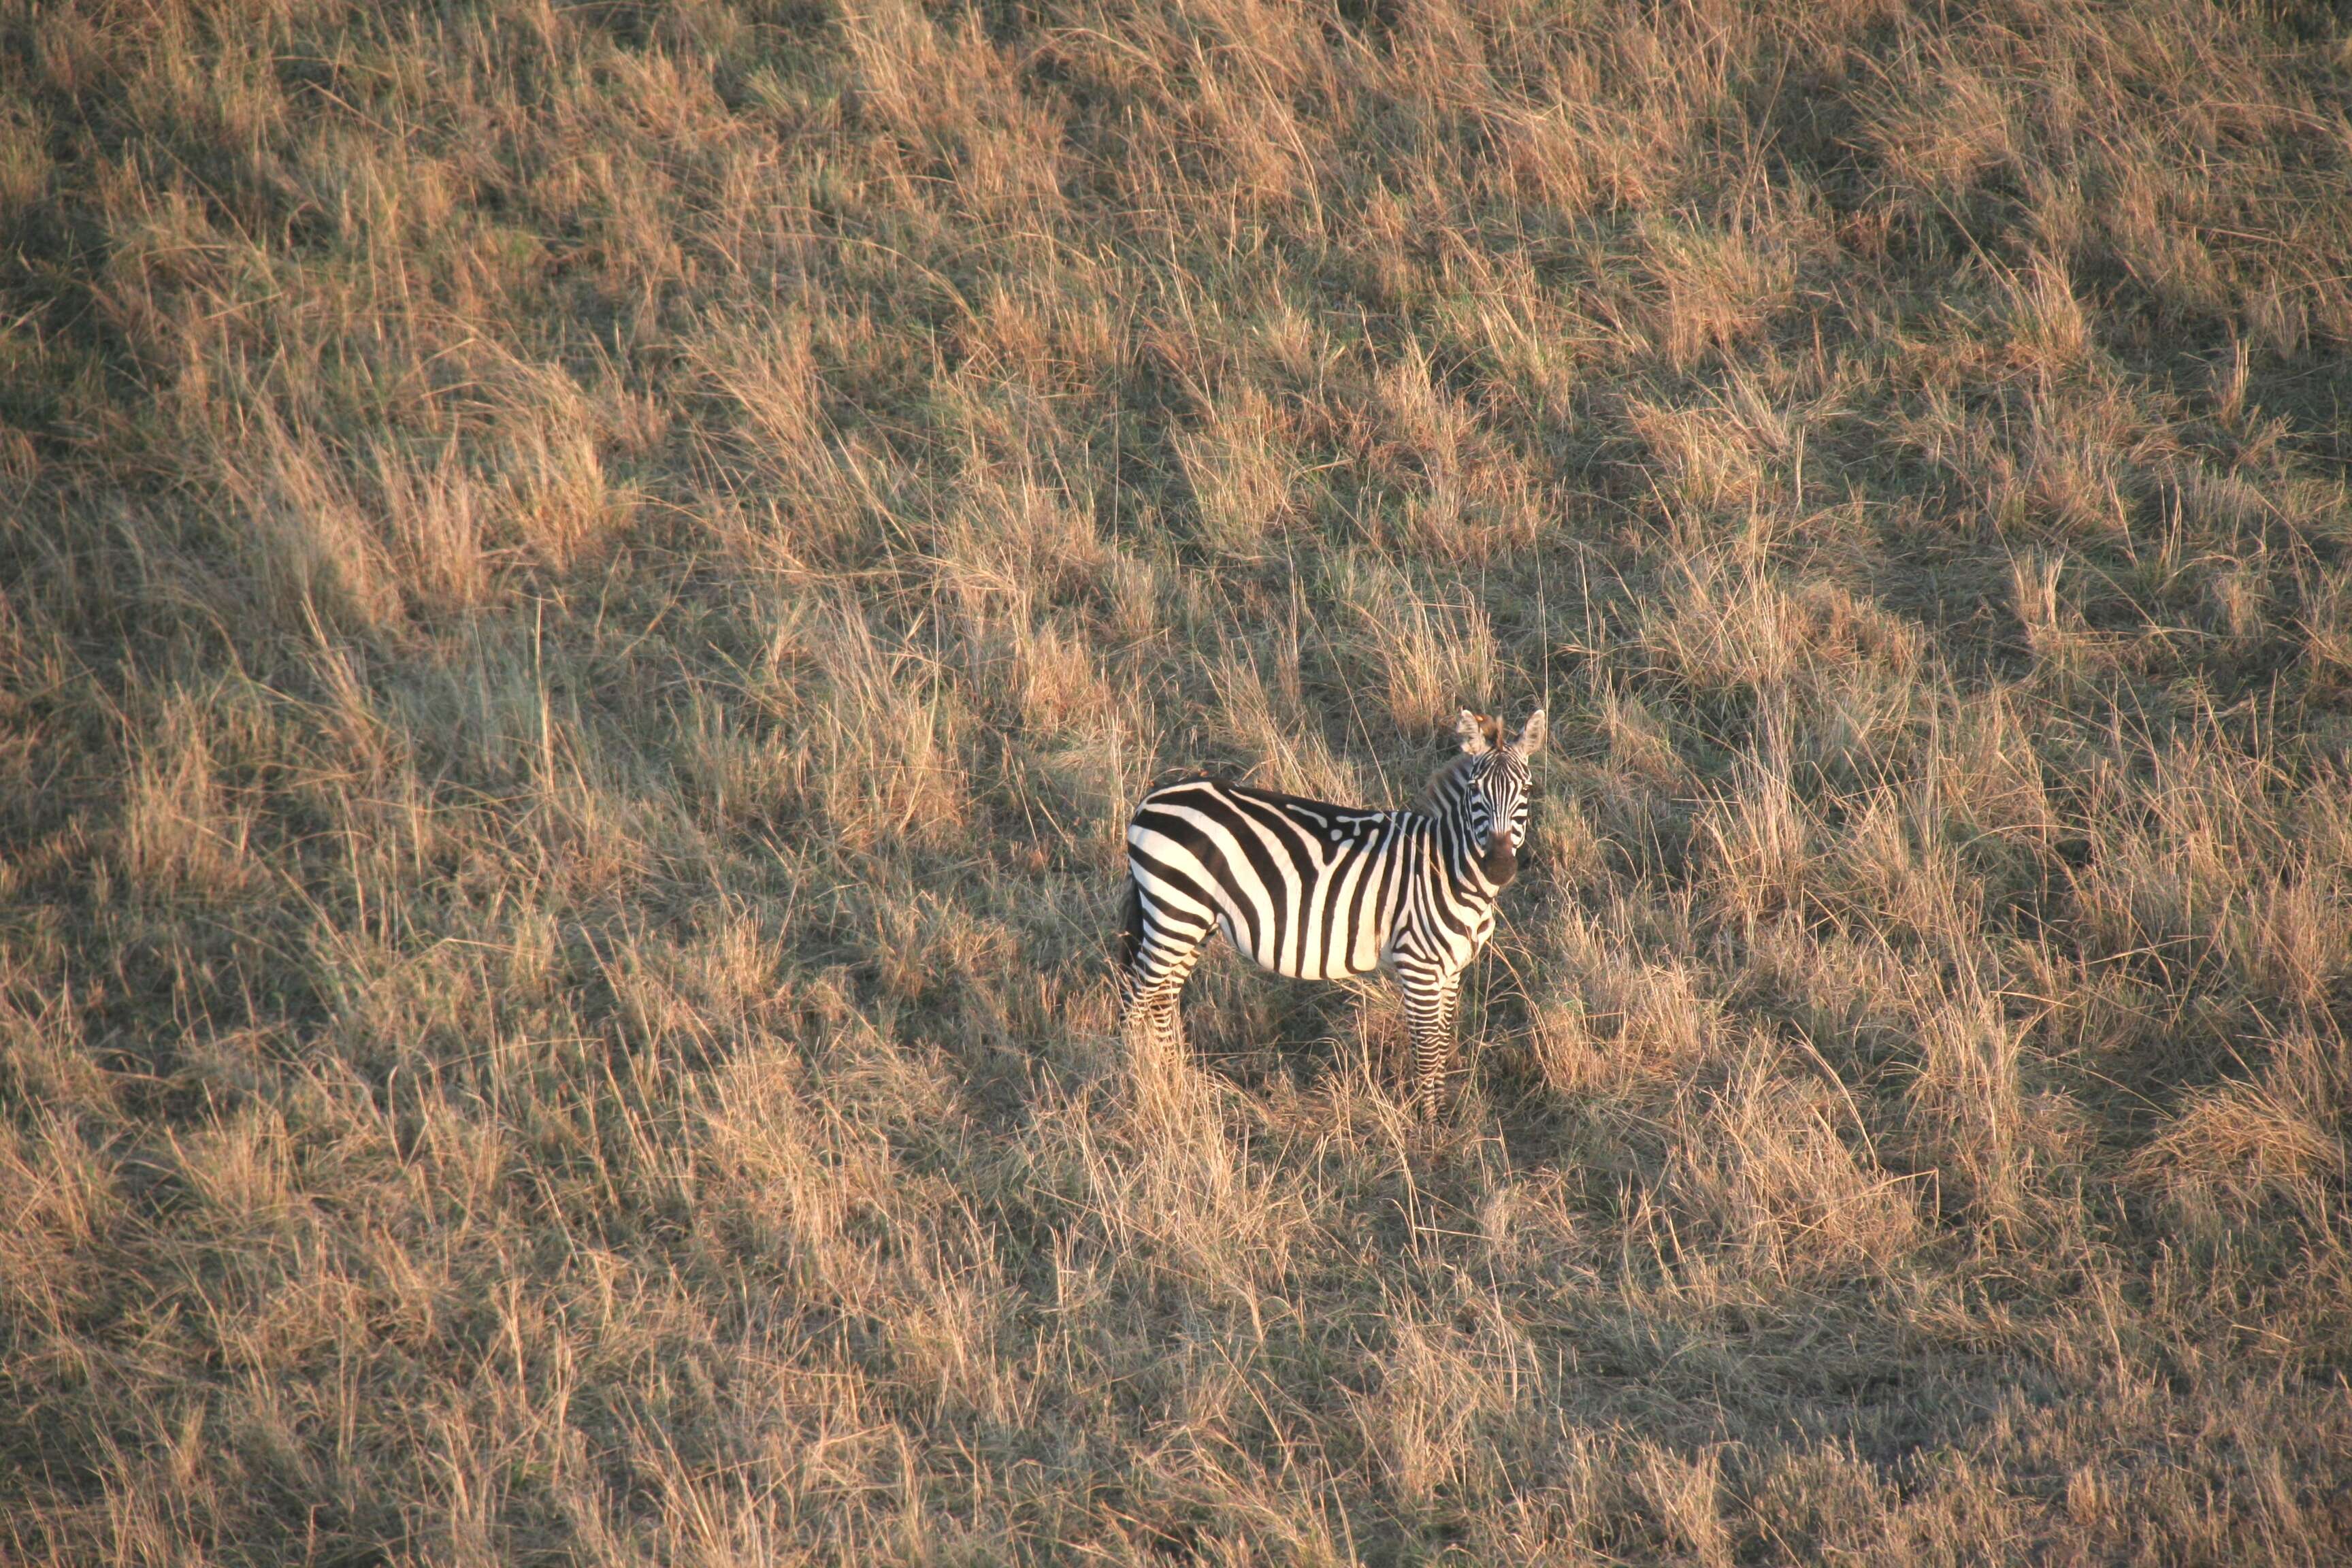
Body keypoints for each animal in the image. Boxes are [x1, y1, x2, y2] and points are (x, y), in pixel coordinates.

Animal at [1115, 705, 1543, 1124]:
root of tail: (1151, 798)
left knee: (1161, 1000)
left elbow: (1441, 1040)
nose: (1499, 868)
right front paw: (1430, 1124)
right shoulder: (1417, 965)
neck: (1447, 866)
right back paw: (1142, 1090)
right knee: (1137, 1003)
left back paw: (1177, 1082)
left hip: (1192, 922)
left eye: (1526, 790)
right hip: (1173, 915)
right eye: (1474, 791)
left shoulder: (1451, 969)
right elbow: (1426, 1048)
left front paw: (1439, 1112)